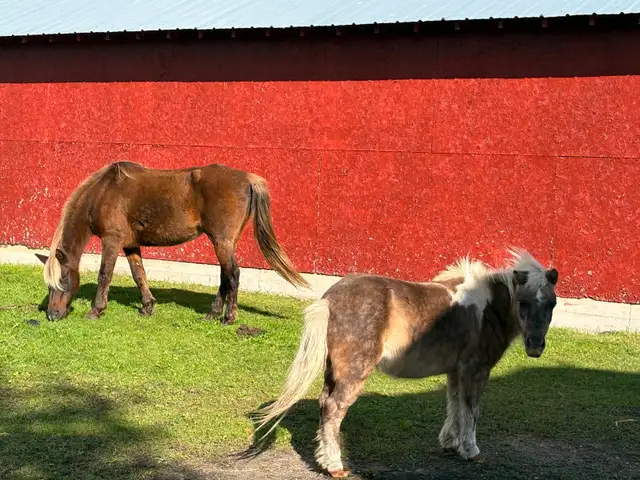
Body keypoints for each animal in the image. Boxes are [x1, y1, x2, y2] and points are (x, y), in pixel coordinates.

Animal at [36, 161, 310, 324]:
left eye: (63, 279)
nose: (52, 314)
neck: (103, 192)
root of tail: (248, 179)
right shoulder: (130, 244)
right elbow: (139, 274)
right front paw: (147, 306)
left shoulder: (111, 241)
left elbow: (105, 274)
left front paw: (96, 310)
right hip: (223, 243)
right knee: (225, 276)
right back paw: (212, 314)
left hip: (222, 241)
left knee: (233, 274)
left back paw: (229, 317)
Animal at [254, 248, 559, 478]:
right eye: (522, 302)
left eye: (551, 303)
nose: (535, 347)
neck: (486, 309)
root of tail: (330, 299)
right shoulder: (476, 371)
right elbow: (472, 411)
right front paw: (471, 451)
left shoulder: (456, 371)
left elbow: (455, 405)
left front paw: (450, 444)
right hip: (354, 373)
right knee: (333, 408)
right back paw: (335, 466)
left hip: (333, 371)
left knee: (323, 404)